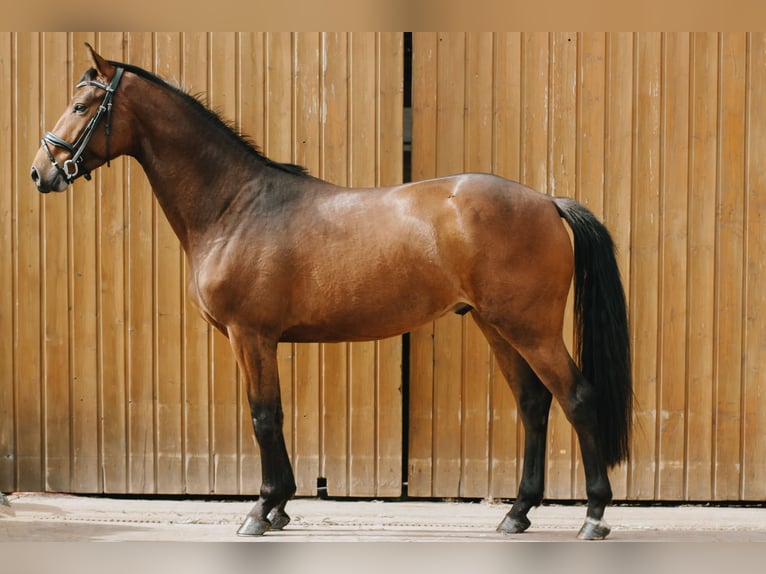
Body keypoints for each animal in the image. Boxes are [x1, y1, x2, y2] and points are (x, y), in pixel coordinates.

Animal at [30, 44, 632, 540]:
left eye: (81, 106)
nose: (41, 172)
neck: (235, 206)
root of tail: (548, 201)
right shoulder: (259, 340)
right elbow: (274, 415)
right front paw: (280, 507)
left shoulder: (251, 336)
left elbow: (263, 416)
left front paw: (261, 509)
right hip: (497, 326)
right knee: (533, 404)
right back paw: (517, 513)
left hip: (529, 328)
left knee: (577, 398)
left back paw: (593, 515)